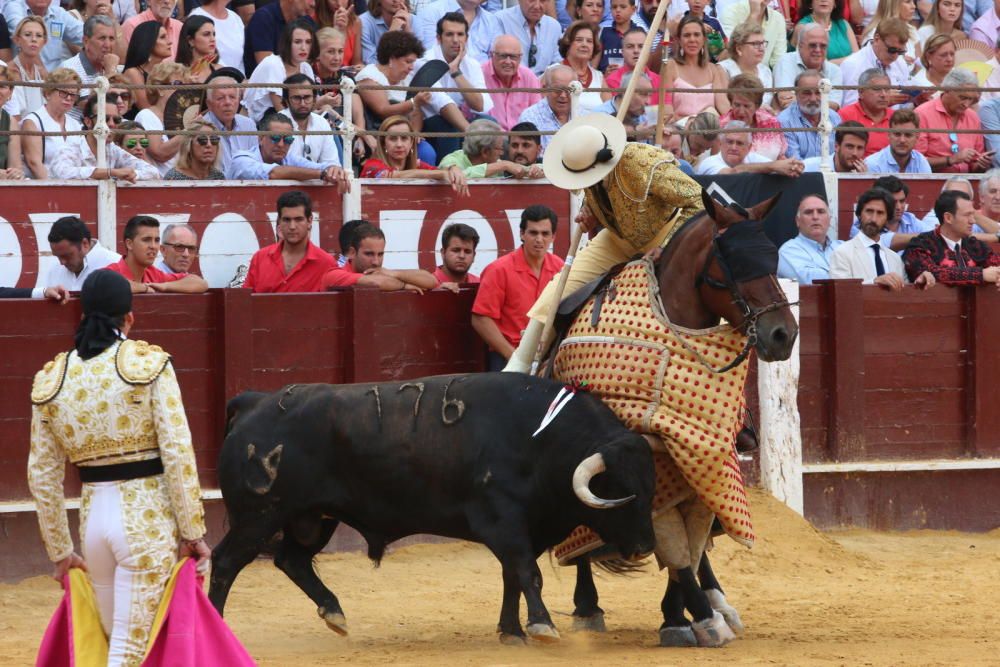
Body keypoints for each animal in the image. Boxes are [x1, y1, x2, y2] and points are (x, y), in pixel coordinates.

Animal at [208, 374, 660, 644]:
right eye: (618, 489)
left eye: (651, 487)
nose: (645, 547)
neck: (541, 438)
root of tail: (253, 402)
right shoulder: (504, 520)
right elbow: (526, 572)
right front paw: (542, 626)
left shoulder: (523, 528)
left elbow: (511, 577)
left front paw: (511, 631)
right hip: (259, 515)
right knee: (226, 561)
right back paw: (217, 625)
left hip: (312, 517)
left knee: (291, 559)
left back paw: (334, 613)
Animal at [552, 188, 800, 648]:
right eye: (732, 260)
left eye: (773, 256)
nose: (783, 335)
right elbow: (674, 545)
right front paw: (694, 619)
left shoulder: (703, 457)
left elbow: (689, 543)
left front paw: (682, 615)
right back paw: (587, 606)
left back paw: (718, 600)